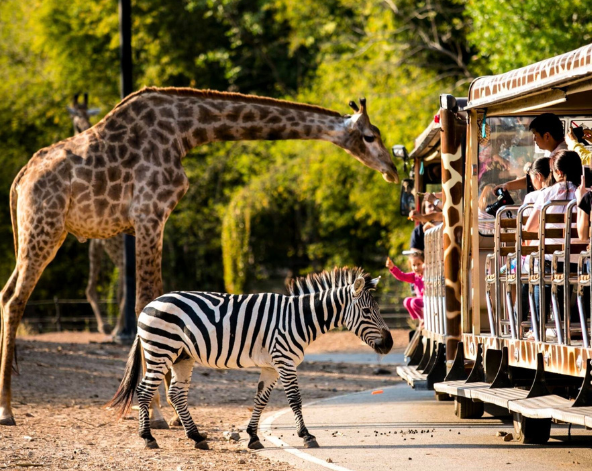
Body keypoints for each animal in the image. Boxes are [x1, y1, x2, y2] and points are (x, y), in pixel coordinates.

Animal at [0, 86, 400, 426]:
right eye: (369, 136)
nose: (392, 170)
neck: (185, 130)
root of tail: (20, 180)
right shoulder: (149, 214)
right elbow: (146, 301)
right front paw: (158, 414)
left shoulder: (152, 219)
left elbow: (156, 302)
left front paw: (170, 412)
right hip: (46, 228)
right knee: (17, 299)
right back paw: (7, 410)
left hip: (35, 232)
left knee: (6, 294)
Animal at [107, 268, 394, 452]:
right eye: (367, 311)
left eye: (377, 310)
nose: (390, 344)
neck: (297, 319)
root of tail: (149, 305)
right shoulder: (285, 361)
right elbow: (295, 399)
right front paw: (306, 436)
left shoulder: (271, 366)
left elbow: (261, 399)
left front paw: (253, 437)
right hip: (160, 350)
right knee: (144, 391)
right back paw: (148, 439)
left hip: (182, 357)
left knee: (177, 394)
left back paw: (197, 438)